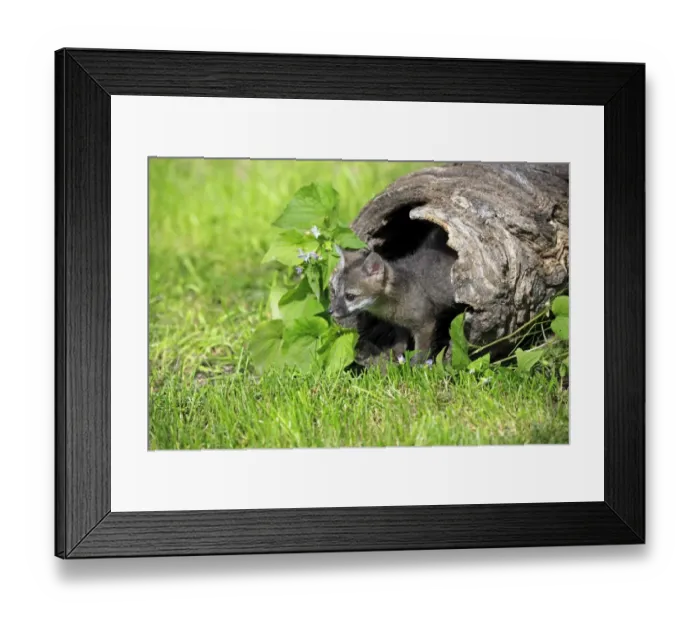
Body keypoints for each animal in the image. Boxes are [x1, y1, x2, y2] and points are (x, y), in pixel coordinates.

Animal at [329, 227, 460, 364]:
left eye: (350, 296)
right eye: (334, 291)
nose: (330, 311)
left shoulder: (426, 325)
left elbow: (420, 353)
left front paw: (415, 366)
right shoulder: (399, 324)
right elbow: (400, 341)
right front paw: (396, 355)